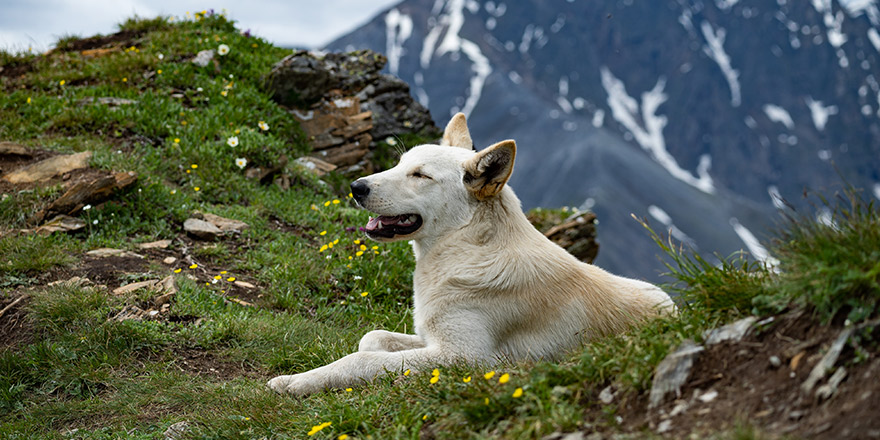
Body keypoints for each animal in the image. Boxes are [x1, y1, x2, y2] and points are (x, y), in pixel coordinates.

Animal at [268, 112, 672, 396]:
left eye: (420, 175)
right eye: (400, 164)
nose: (356, 187)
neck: (465, 249)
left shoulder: (465, 355)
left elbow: (362, 358)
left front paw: (297, 381)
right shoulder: (433, 339)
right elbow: (373, 339)